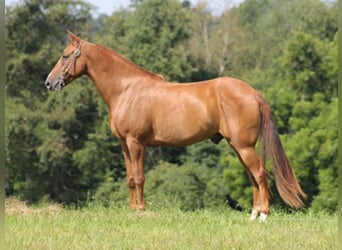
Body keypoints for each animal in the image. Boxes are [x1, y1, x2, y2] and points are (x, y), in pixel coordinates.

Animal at [44, 30, 304, 221]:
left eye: (65, 55)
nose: (49, 82)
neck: (127, 89)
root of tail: (253, 93)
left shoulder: (136, 143)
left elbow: (139, 177)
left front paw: (140, 210)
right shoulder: (124, 145)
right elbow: (130, 178)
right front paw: (131, 209)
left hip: (244, 146)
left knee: (259, 173)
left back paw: (263, 215)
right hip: (238, 146)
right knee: (252, 175)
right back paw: (253, 214)